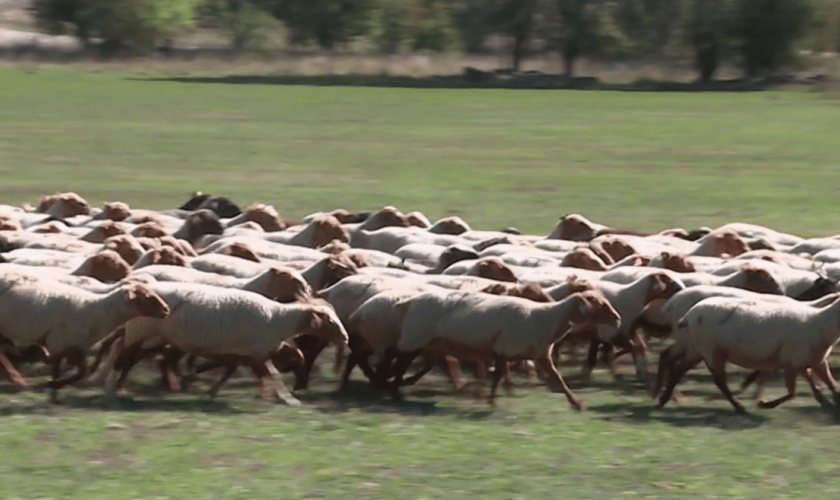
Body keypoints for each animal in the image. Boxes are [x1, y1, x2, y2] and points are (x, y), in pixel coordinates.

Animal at [104, 284, 348, 404]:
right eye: (329, 321)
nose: (345, 338)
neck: (277, 318)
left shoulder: (244, 353)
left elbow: (228, 371)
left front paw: (209, 392)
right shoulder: (257, 353)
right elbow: (273, 375)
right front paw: (288, 399)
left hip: (151, 340)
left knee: (125, 357)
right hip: (140, 335)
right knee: (121, 358)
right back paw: (111, 390)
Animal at [660, 294, 840, 412]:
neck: (818, 323)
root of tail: (690, 314)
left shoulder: (814, 361)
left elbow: (830, 384)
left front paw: (829, 401)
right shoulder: (792, 362)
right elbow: (792, 392)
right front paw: (764, 404)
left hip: (697, 347)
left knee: (680, 368)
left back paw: (663, 398)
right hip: (711, 349)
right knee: (719, 380)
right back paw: (738, 406)